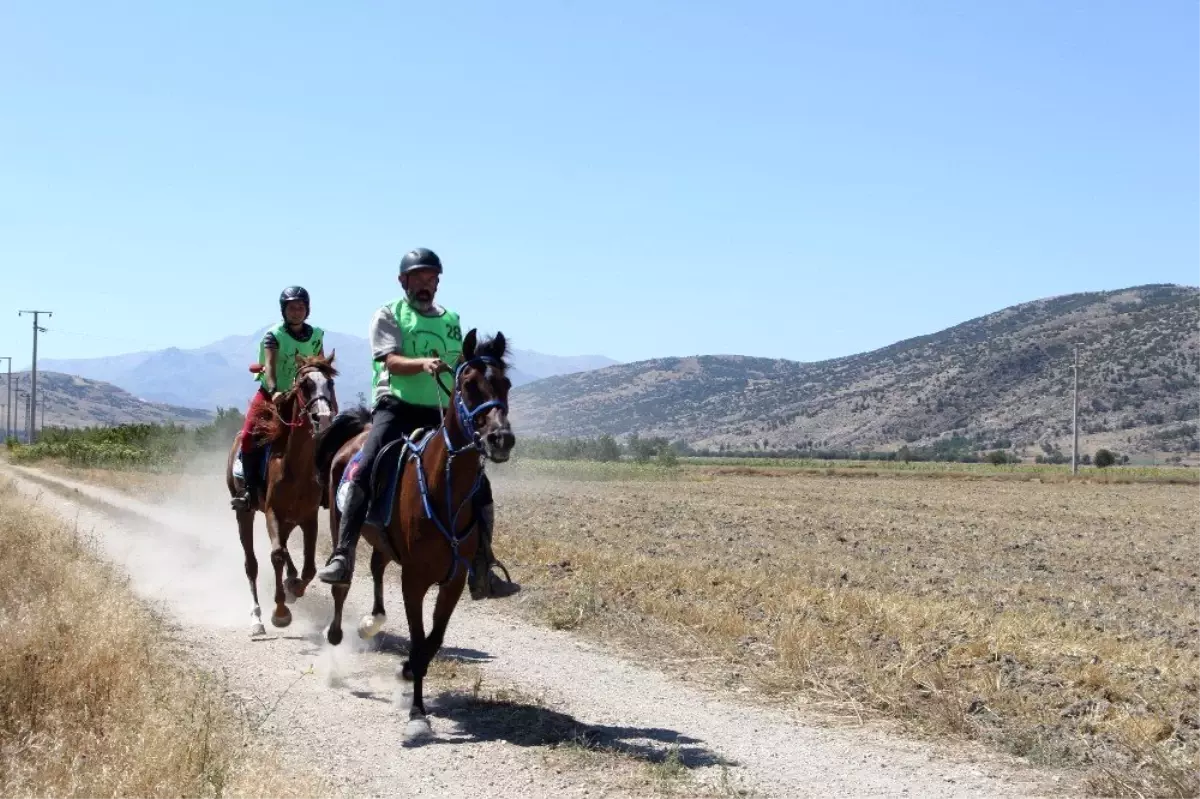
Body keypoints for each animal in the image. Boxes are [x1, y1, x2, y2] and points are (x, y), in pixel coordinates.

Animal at [225, 352, 340, 633]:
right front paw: (280, 612)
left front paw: (294, 588)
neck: (296, 466)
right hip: (245, 513)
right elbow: (276, 555)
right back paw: (256, 618)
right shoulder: (272, 512)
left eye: (330, 384)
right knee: (252, 563)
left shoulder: (308, 517)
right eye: (304, 385)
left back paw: (290, 580)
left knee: (285, 548)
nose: (323, 418)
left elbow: (309, 568)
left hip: (289, 519)